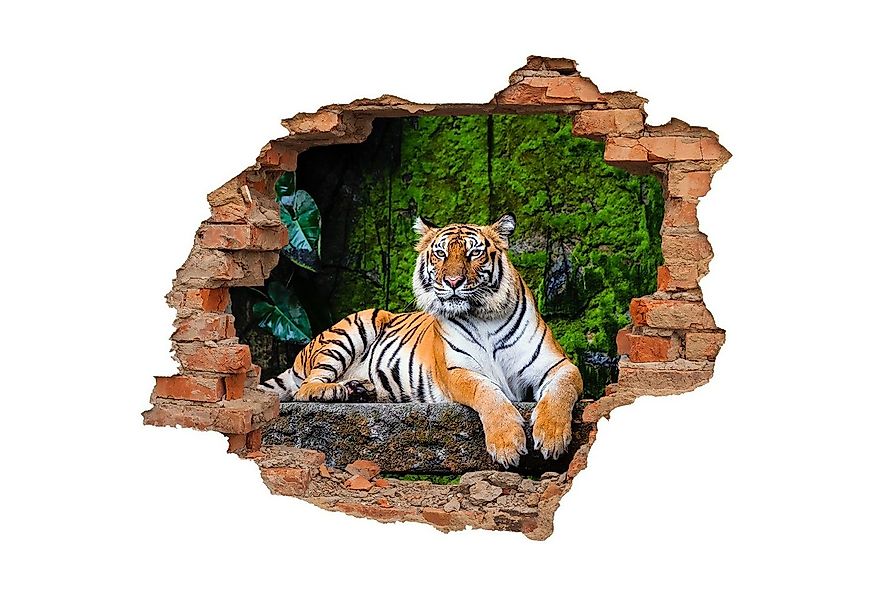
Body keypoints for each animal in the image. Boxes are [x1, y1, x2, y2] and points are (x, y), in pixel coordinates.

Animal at [260, 214, 583, 467]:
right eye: (440, 254)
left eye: (473, 253)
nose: (453, 282)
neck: (483, 316)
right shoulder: (458, 372)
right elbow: (488, 393)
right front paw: (507, 444)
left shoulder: (558, 365)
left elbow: (561, 391)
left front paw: (552, 436)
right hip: (354, 328)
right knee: (305, 388)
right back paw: (336, 391)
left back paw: (360, 390)